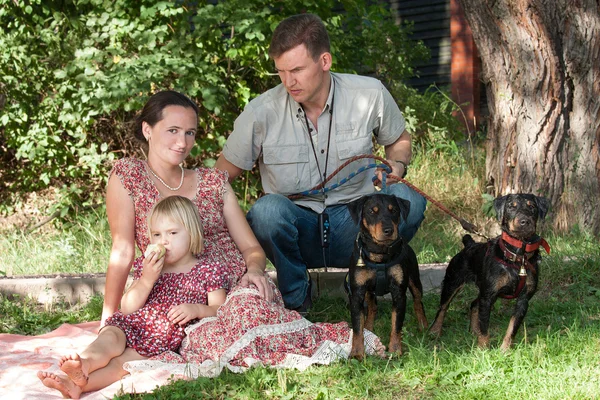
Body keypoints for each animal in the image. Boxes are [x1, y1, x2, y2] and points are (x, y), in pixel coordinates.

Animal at [346, 194, 426, 360]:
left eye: (394, 210)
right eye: (372, 211)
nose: (389, 230)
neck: (379, 255)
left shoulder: (399, 293)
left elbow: (396, 325)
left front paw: (395, 350)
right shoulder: (356, 293)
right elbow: (357, 327)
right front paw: (357, 353)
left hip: (414, 280)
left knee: (418, 301)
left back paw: (423, 325)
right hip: (368, 290)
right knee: (372, 306)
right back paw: (369, 327)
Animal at [428, 194, 552, 350]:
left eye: (532, 206)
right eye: (511, 206)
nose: (524, 221)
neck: (518, 256)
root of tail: (469, 244)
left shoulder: (523, 300)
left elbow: (512, 327)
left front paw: (504, 350)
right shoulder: (488, 296)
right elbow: (485, 326)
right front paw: (483, 349)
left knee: (474, 304)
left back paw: (474, 331)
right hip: (452, 281)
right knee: (443, 307)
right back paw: (434, 331)